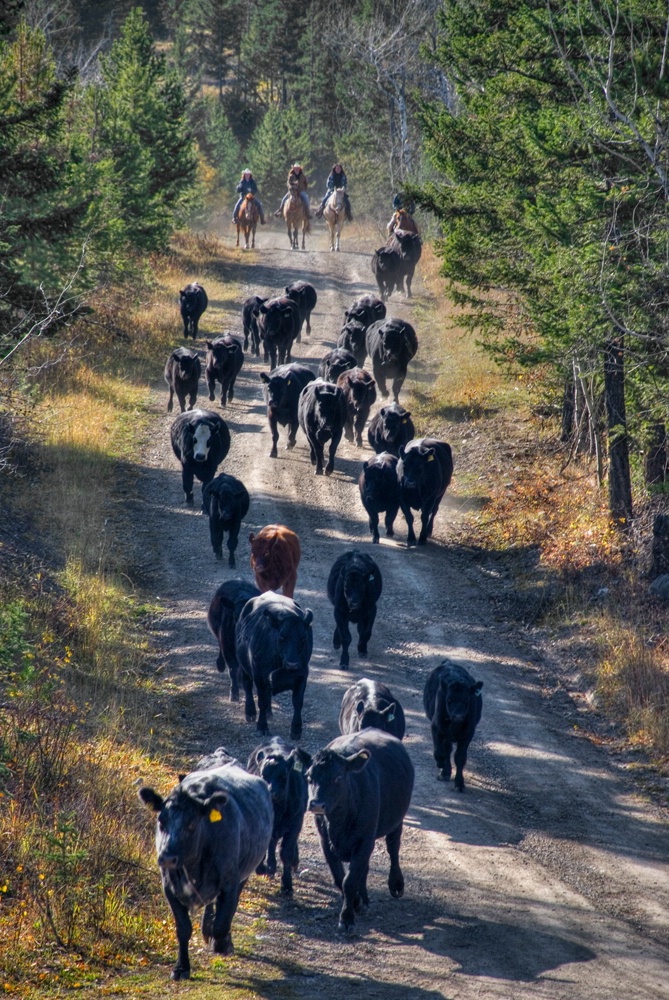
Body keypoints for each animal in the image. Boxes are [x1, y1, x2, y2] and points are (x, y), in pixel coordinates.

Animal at [235, 592, 314, 744]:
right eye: (282, 637)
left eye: (303, 638)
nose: (292, 664)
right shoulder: (259, 675)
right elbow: (262, 701)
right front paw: (262, 726)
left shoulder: (302, 674)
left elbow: (298, 702)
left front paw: (296, 730)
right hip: (244, 667)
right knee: (248, 687)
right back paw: (250, 712)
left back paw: (269, 713)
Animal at [247, 736, 312, 900]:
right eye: (263, 775)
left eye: (283, 775)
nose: (272, 792)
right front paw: (264, 868)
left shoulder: (295, 822)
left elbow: (286, 852)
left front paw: (287, 885)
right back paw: (270, 867)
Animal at [306, 732, 412, 932]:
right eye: (309, 777)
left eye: (338, 778)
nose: (316, 804)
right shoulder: (325, 842)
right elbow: (340, 878)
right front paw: (355, 902)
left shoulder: (364, 840)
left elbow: (349, 880)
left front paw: (346, 918)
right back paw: (363, 899)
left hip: (396, 821)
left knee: (393, 849)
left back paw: (396, 884)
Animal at [422, 660, 480, 792]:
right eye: (449, 699)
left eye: (466, 701)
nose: (458, 716)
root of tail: (448, 662)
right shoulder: (436, 727)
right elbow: (439, 752)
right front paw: (441, 764)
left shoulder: (468, 734)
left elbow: (460, 757)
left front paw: (459, 782)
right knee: (446, 749)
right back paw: (445, 771)